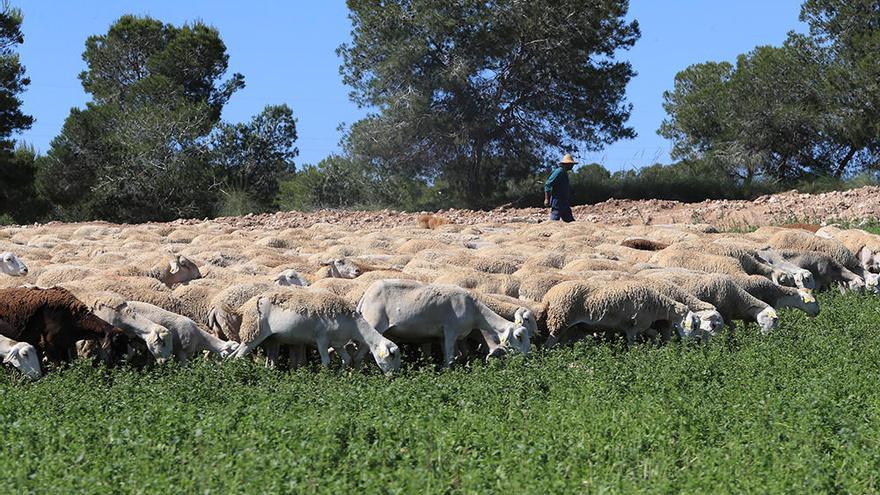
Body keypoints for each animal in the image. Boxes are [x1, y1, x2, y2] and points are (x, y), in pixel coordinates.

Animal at [232, 288, 400, 374]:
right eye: (391, 356)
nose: (393, 377)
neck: (354, 326)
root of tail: (251, 302)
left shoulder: (337, 343)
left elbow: (347, 359)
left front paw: (341, 376)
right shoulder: (322, 339)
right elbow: (326, 362)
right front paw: (324, 379)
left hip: (267, 337)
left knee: (233, 355)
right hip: (254, 334)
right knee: (238, 356)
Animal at [352, 280, 528, 368]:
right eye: (518, 336)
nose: (528, 358)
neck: (476, 313)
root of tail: (366, 296)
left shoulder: (446, 336)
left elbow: (458, 355)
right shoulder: (450, 331)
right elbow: (449, 358)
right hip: (374, 323)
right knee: (359, 355)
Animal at [536, 280, 700, 348]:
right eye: (695, 325)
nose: (691, 345)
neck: (658, 305)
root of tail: (548, 297)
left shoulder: (642, 326)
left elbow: (654, 334)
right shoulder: (633, 327)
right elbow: (632, 344)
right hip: (560, 320)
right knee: (547, 345)